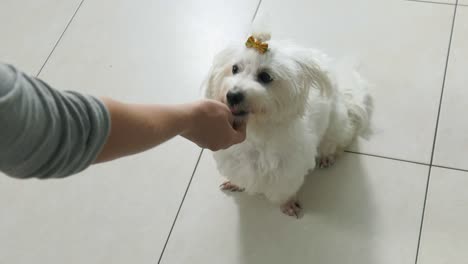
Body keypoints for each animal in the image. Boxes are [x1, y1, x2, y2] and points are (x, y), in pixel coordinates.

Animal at [203, 33, 372, 218]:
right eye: (234, 69)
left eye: (265, 76)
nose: (232, 95)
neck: (257, 131)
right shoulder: (235, 161)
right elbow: (240, 175)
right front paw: (235, 183)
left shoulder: (287, 170)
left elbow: (284, 190)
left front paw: (287, 204)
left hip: (335, 125)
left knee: (338, 140)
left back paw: (327, 156)